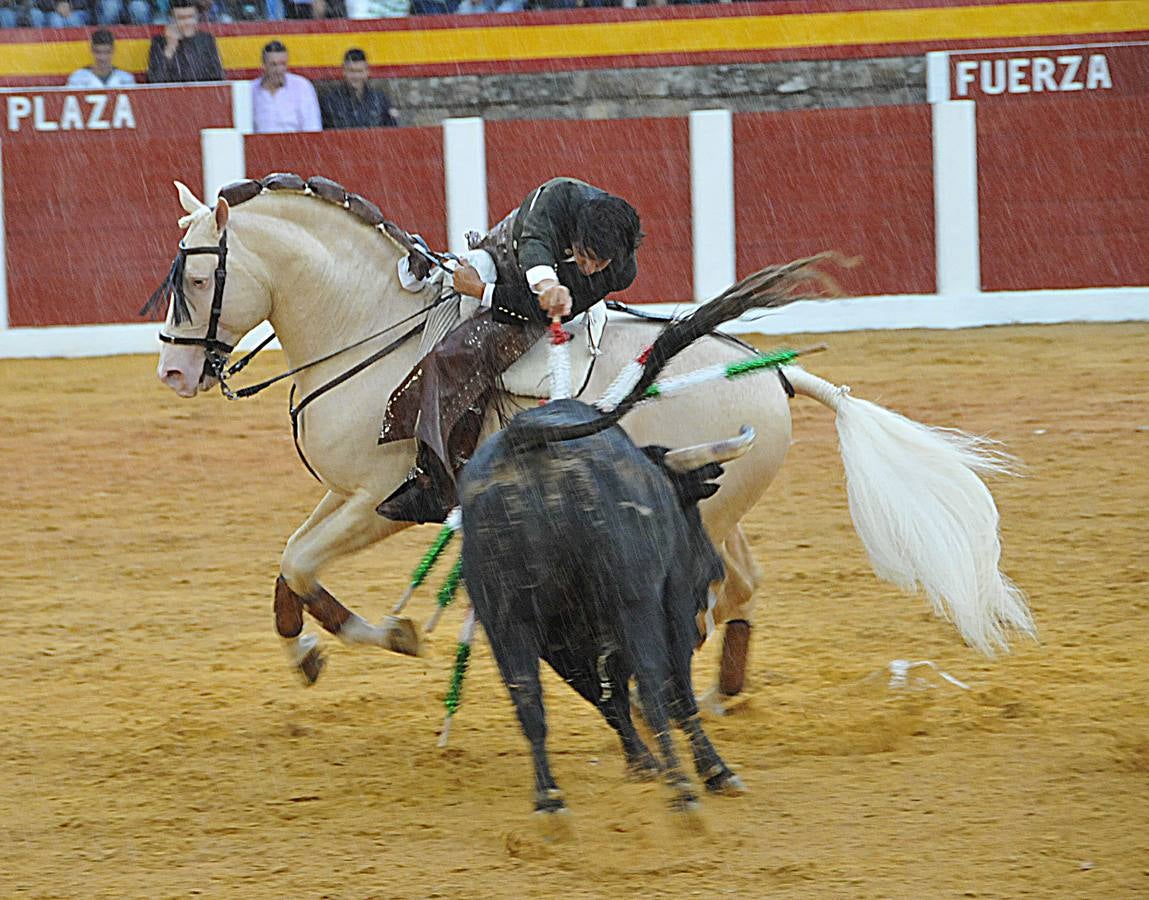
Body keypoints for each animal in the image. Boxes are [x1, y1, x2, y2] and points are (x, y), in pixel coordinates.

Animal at [155, 178, 1034, 689]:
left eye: (195, 276)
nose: (172, 371)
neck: (371, 324)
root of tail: (772, 374)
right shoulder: (342, 492)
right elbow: (289, 562)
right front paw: (309, 647)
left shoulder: (381, 498)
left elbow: (303, 562)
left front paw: (387, 634)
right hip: (716, 501)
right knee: (741, 585)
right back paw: (723, 688)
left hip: (700, 511)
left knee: (712, 590)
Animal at [461, 402, 749, 818]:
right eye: (691, 510)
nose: (715, 568)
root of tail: (525, 438)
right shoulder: (672, 603)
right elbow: (673, 692)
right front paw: (714, 772)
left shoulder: (560, 643)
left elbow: (606, 699)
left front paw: (643, 764)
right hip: (635, 603)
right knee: (654, 688)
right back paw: (682, 791)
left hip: (505, 623)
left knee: (528, 701)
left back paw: (550, 801)